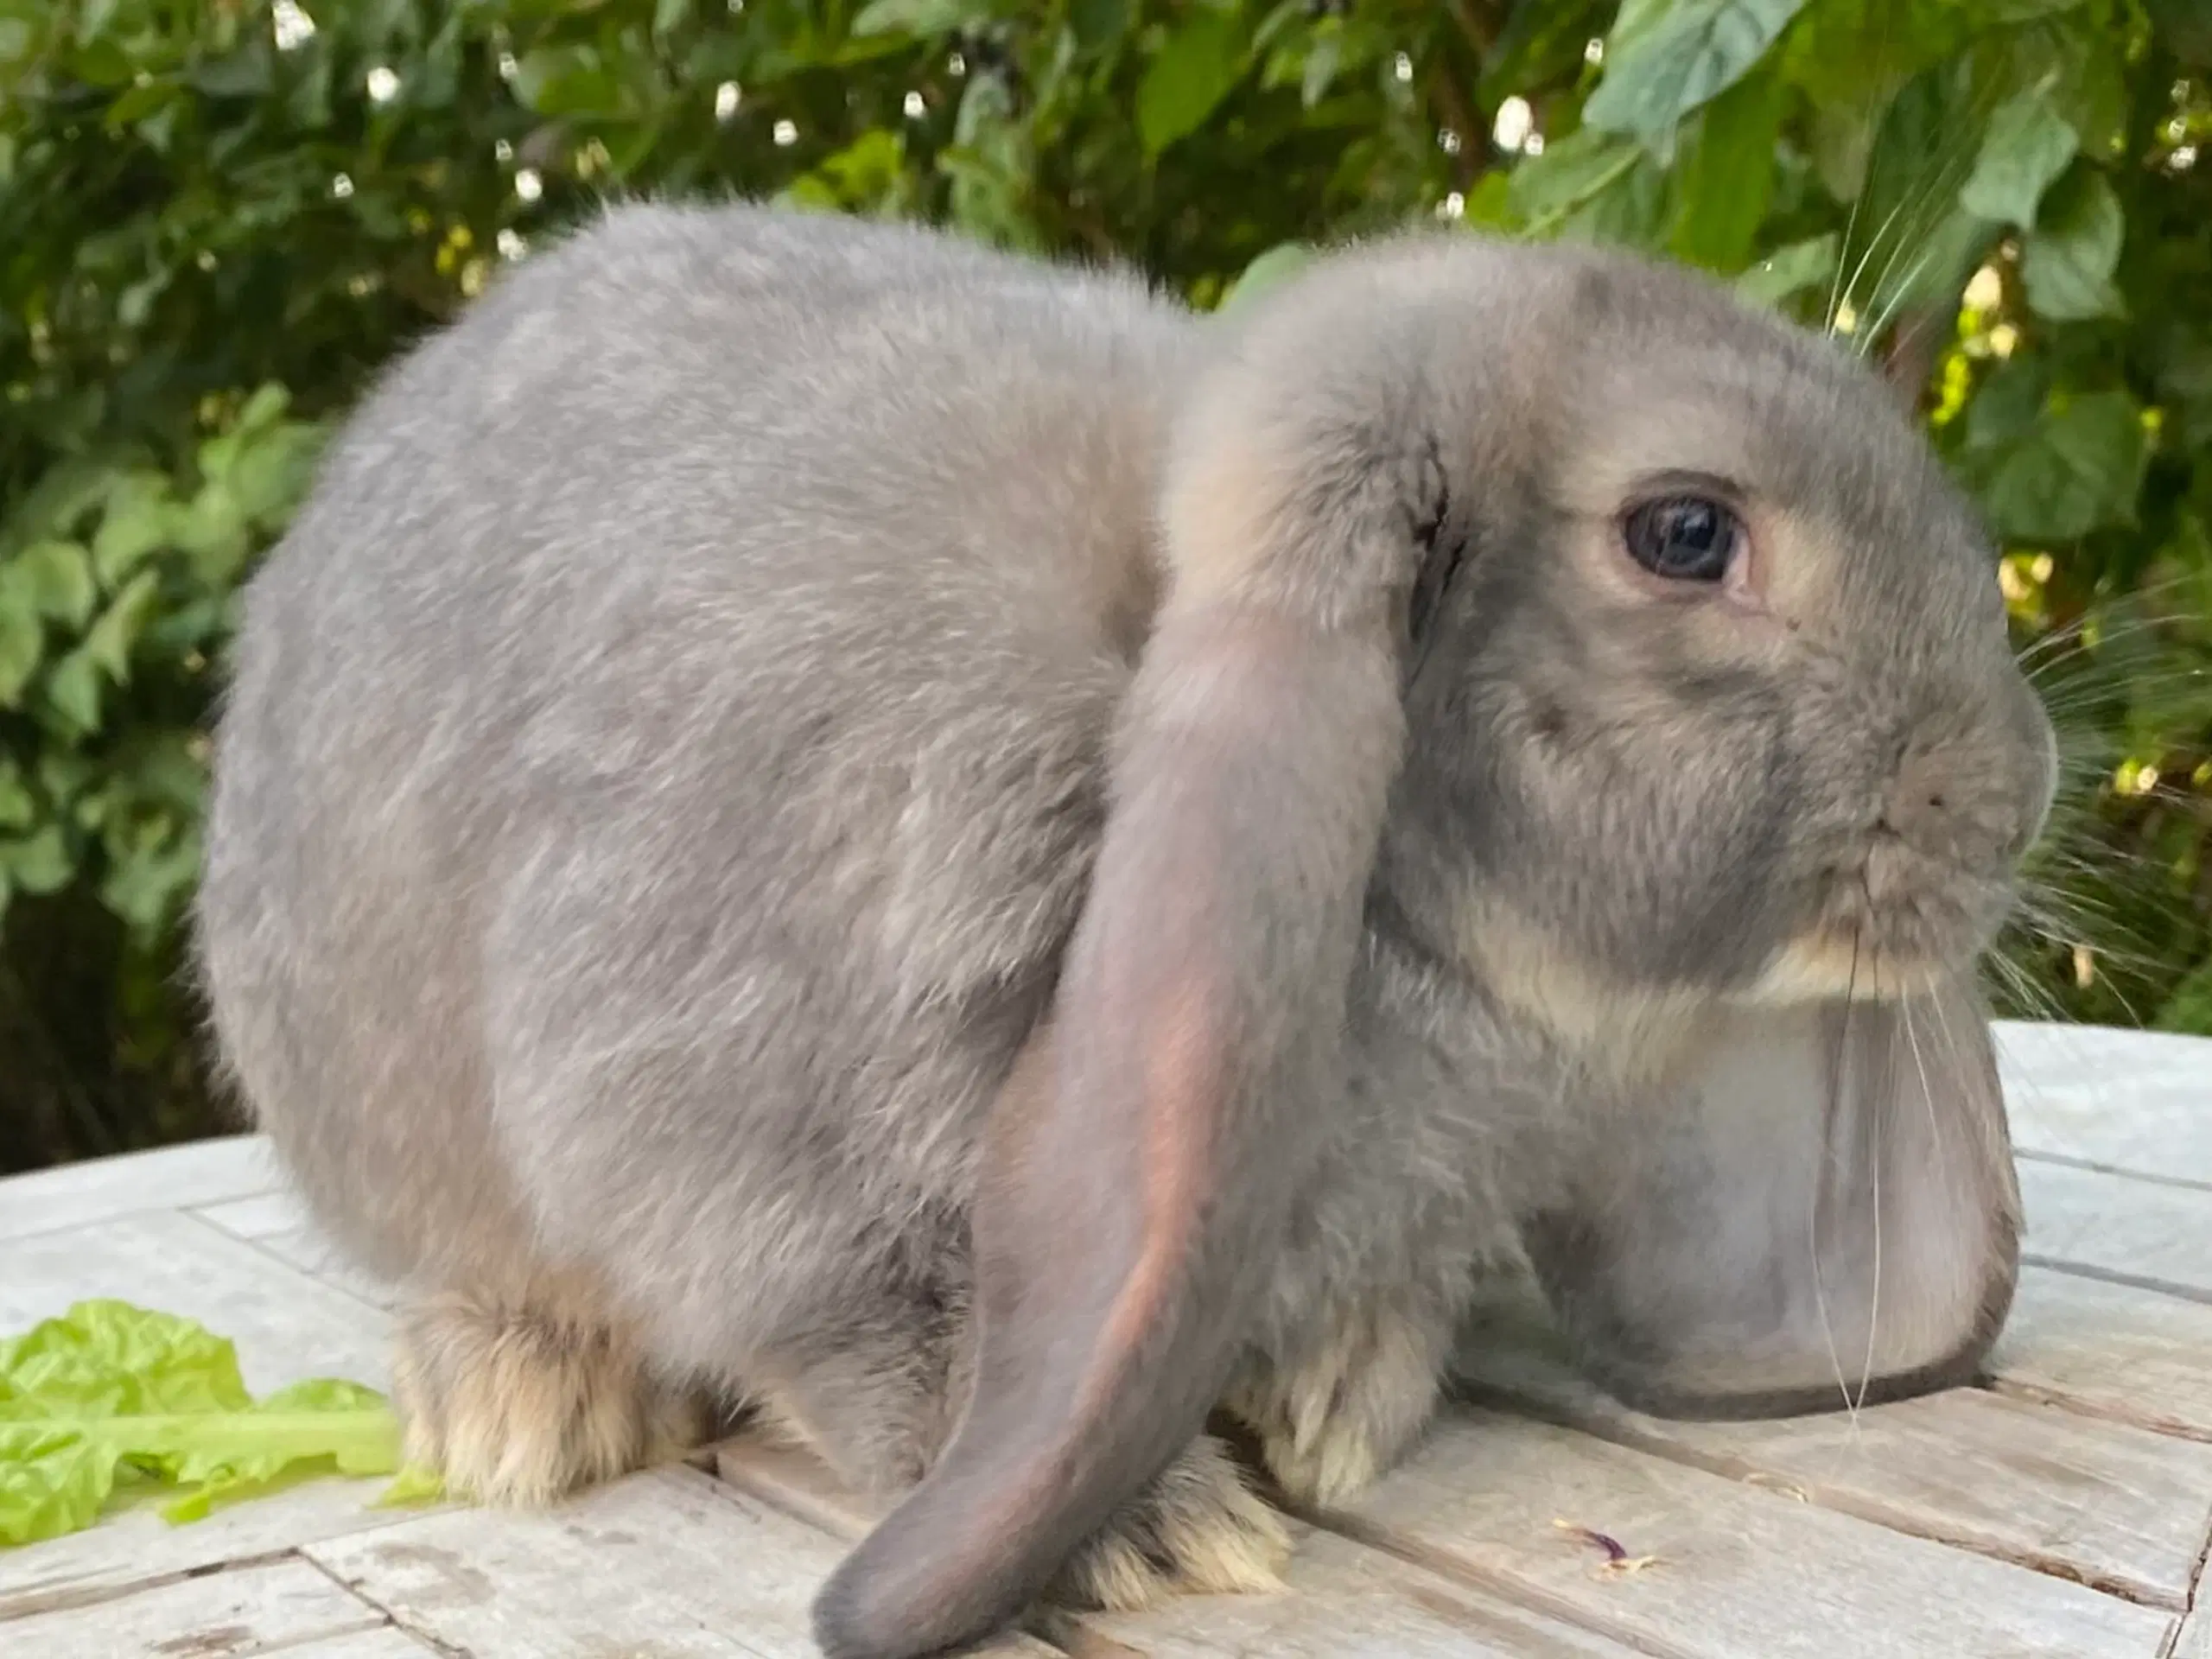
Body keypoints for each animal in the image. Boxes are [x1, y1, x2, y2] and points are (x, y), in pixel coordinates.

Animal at [194, 204, 2052, 1659]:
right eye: (1685, 531)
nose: (2023, 788)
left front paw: (1334, 1410)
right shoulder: (733, 1136)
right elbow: (885, 1338)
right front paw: (1160, 1538)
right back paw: (524, 1406)